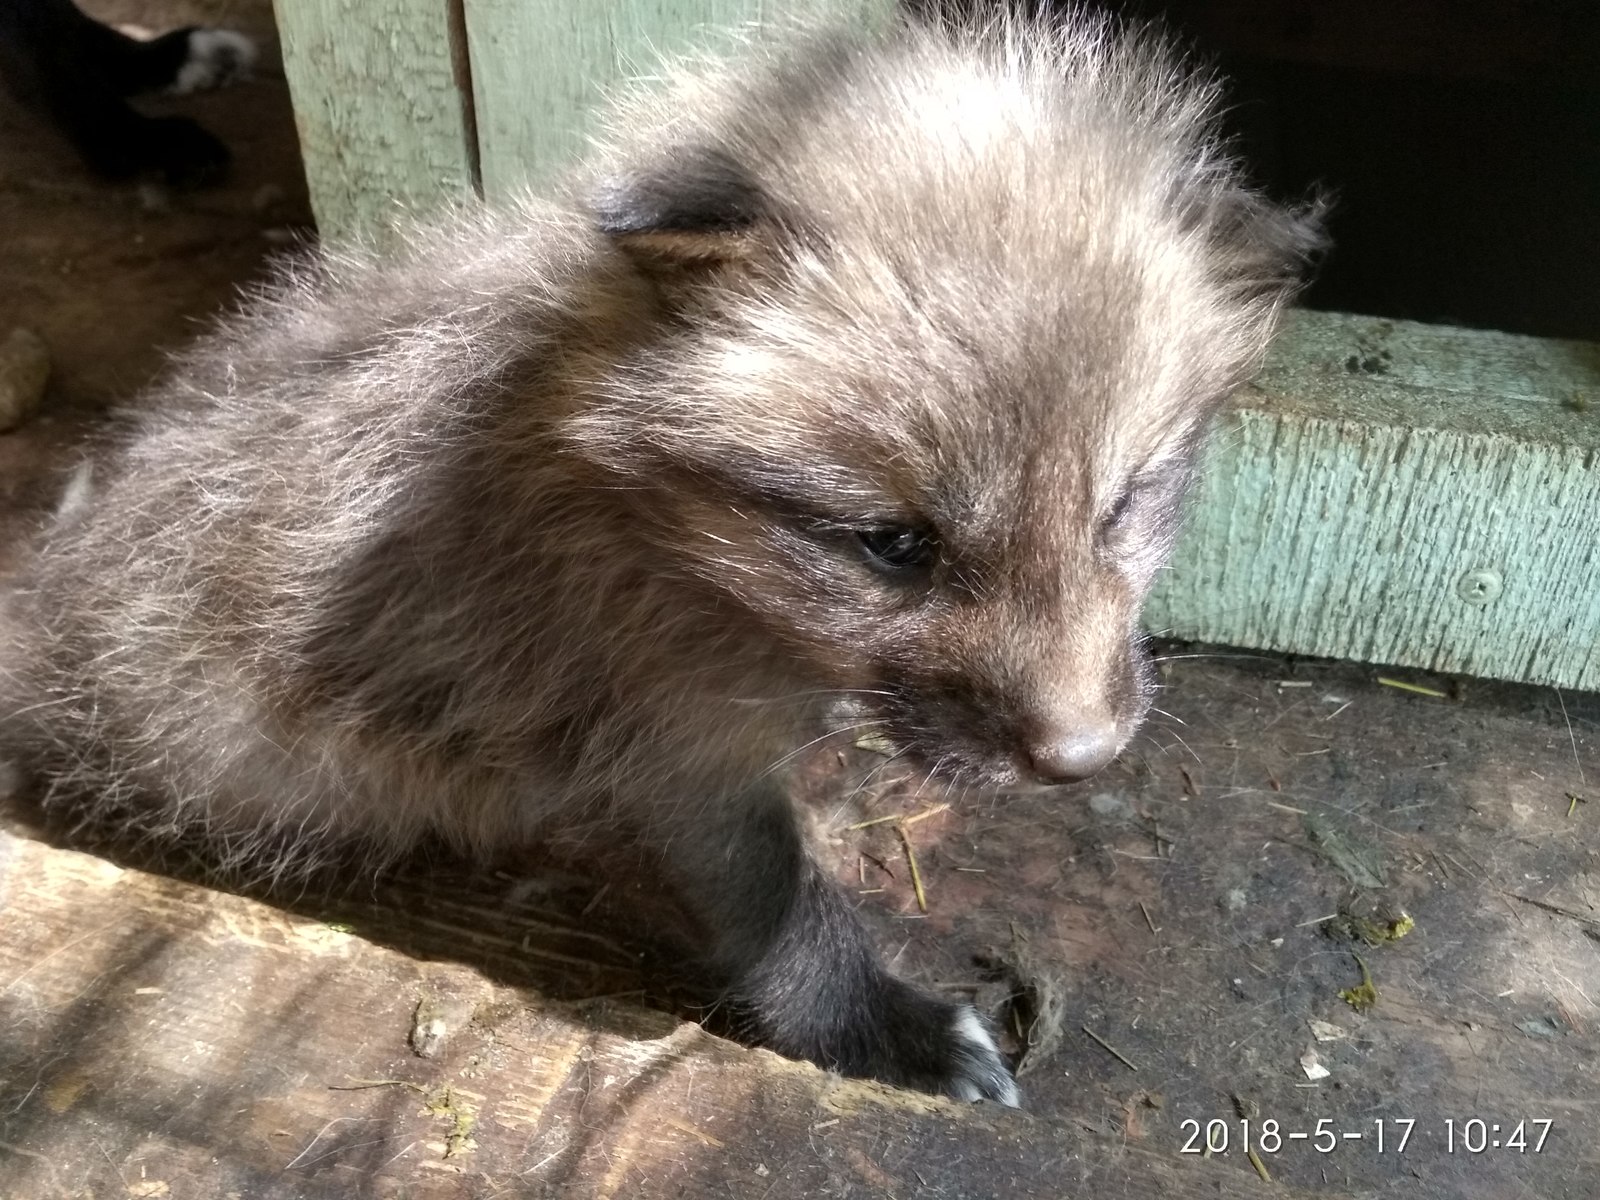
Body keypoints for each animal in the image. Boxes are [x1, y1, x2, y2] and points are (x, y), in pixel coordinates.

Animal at [0, 11, 1318, 1107]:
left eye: (1122, 505)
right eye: (894, 546)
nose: (1081, 760)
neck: (670, 536)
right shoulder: (669, 743)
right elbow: (783, 916)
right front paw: (881, 1032)